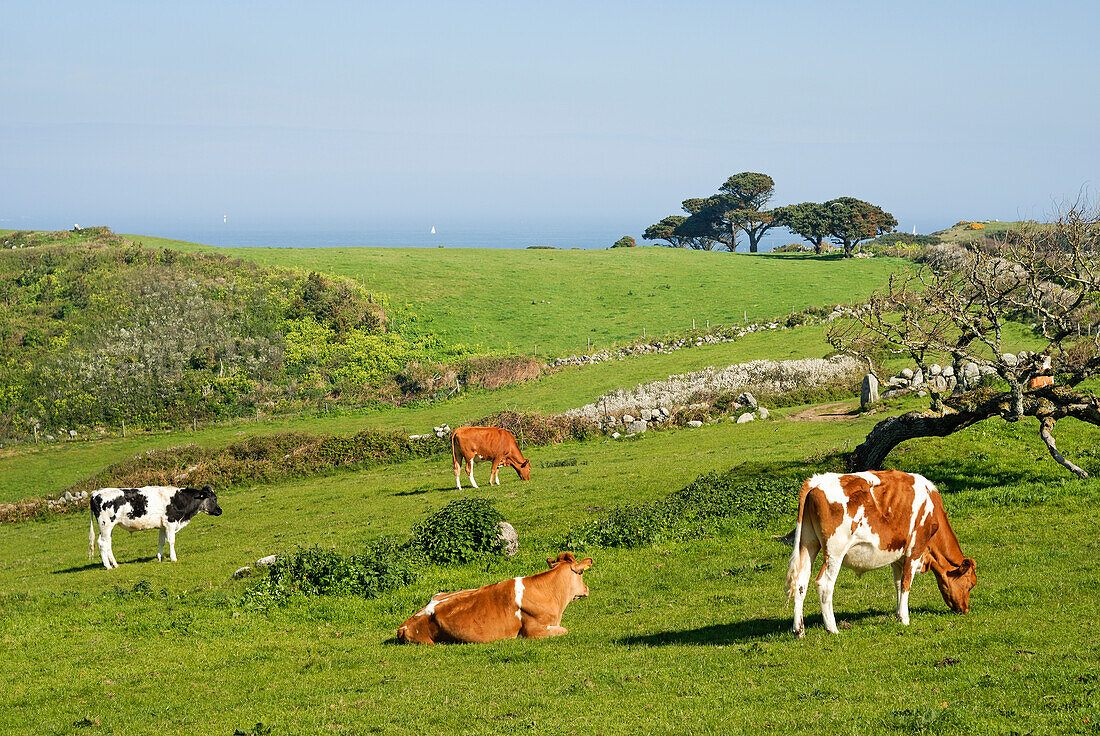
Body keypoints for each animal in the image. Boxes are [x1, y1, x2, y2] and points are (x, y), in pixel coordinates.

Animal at [89, 484, 222, 572]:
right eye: (214, 499)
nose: (220, 510)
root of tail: (95, 493)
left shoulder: (163, 526)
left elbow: (161, 541)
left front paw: (159, 557)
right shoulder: (170, 522)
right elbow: (171, 541)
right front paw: (173, 558)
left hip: (107, 528)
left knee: (107, 543)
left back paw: (115, 564)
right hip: (105, 524)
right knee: (102, 543)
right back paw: (108, 566)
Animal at [783, 470, 981, 638]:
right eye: (971, 584)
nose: (965, 610)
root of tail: (816, 481)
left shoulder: (898, 556)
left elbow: (898, 585)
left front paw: (898, 614)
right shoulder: (914, 550)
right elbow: (906, 584)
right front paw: (905, 619)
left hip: (808, 544)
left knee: (800, 583)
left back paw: (799, 631)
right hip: (834, 551)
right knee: (824, 584)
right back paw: (832, 628)